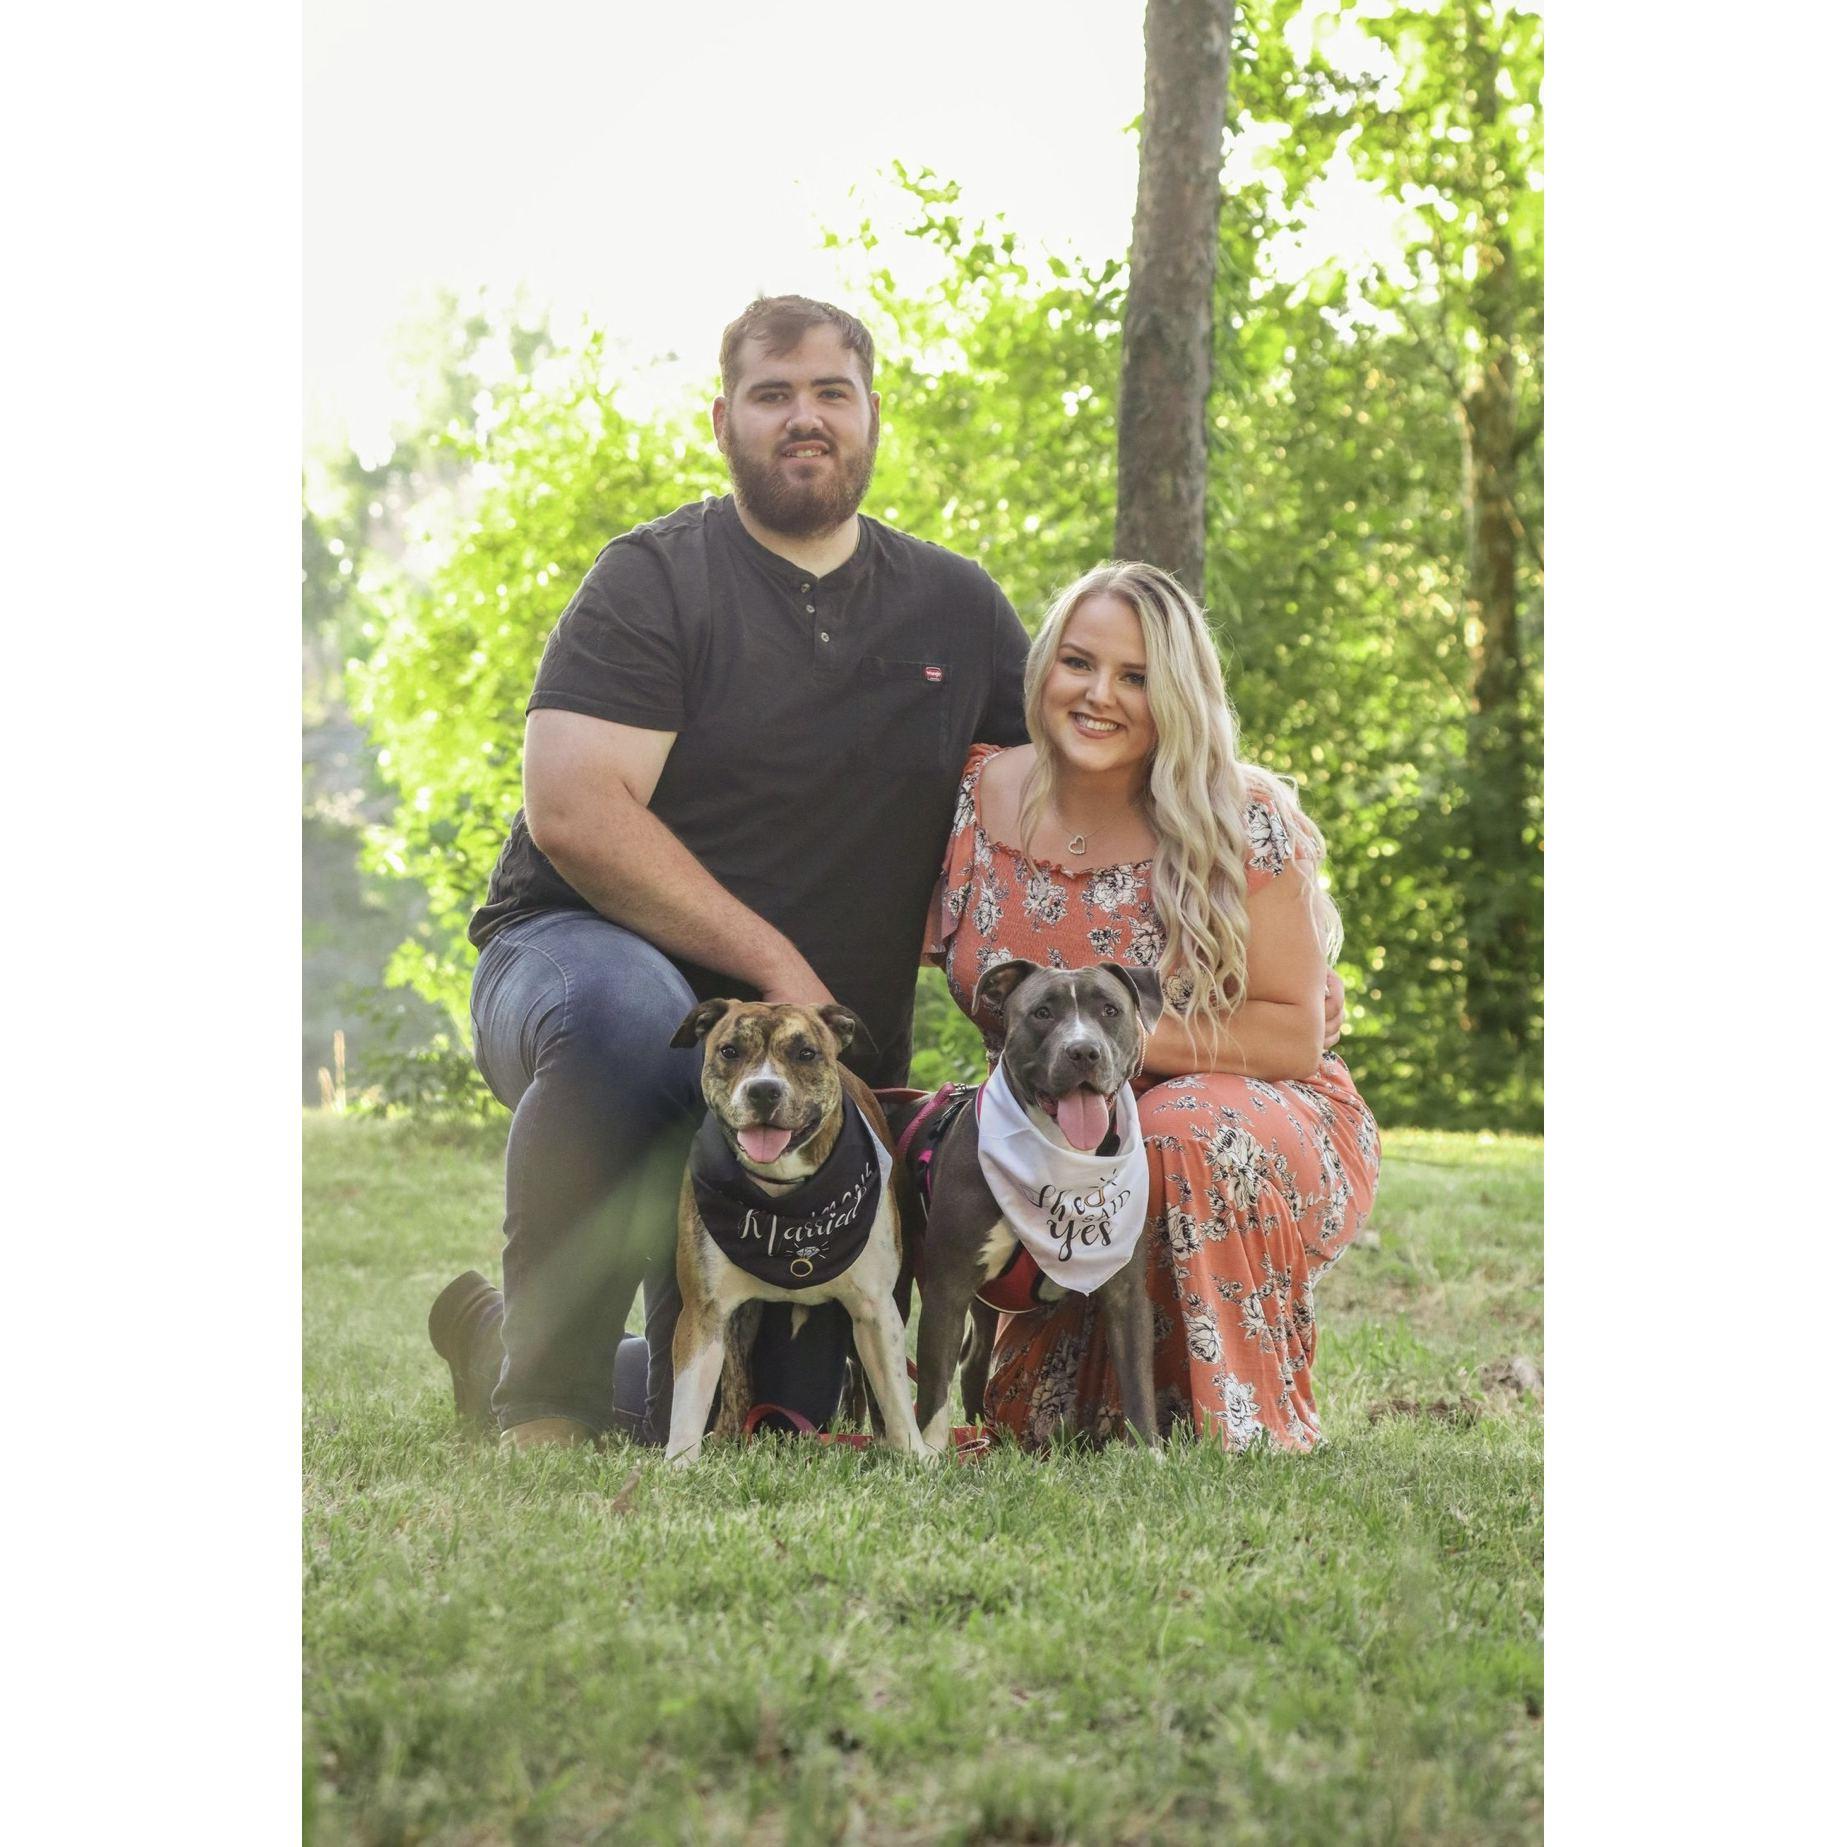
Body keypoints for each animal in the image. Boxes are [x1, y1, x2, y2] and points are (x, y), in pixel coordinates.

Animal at [901, 960, 1159, 1448]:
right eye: (1042, 1012)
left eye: (1110, 1010)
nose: (1083, 1051)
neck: (1064, 1159)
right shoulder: (948, 1288)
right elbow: (933, 1387)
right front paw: (928, 1452)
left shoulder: (1127, 1291)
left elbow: (1138, 1383)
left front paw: (1150, 1455)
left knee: (974, 1362)